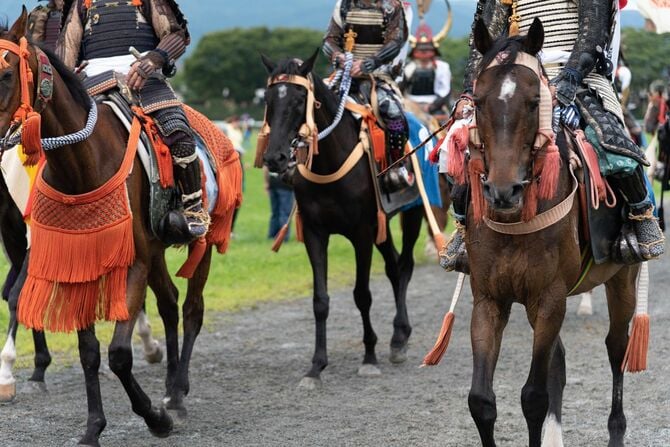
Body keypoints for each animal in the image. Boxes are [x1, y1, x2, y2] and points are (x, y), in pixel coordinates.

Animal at [0, 11, 223, 444]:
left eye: (4, 74)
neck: (83, 166)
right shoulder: (76, 262)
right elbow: (88, 352)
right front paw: (93, 427)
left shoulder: (132, 263)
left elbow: (119, 355)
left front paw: (155, 419)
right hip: (155, 251)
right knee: (169, 304)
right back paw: (169, 388)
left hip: (201, 240)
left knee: (191, 310)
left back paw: (177, 396)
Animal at [260, 52, 427, 388]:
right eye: (269, 100)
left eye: (299, 100)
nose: (275, 158)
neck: (329, 162)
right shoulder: (315, 233)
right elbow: (320, 300)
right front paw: (316, 367)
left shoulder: (361, 233)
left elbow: (362, 295)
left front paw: (369, 357)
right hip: (381, 224)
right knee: (393, 266)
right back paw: (398, 336)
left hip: (413, 212)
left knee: (404, 265)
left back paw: (399, 337)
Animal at [459, 19, 642, 446]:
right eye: (479, 102)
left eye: (534, 102)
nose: (503, 191)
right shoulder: (489, 299)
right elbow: (481, 400)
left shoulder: (549, 298)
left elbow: (534, 397)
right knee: (559, 359)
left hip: (622, 278)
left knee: (617, 347)